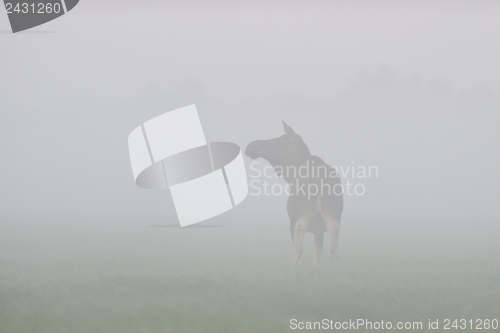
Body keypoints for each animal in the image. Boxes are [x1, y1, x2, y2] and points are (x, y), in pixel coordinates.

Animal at [246, 122, 344, 270]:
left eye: (279, 140)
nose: (250, 146)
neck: (291, 174)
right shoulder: (319, 229)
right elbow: (317, 255)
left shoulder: (292, 220)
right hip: (332, 215)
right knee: (334, 249)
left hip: (301, 216)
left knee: (299, 248)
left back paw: (291, 269)